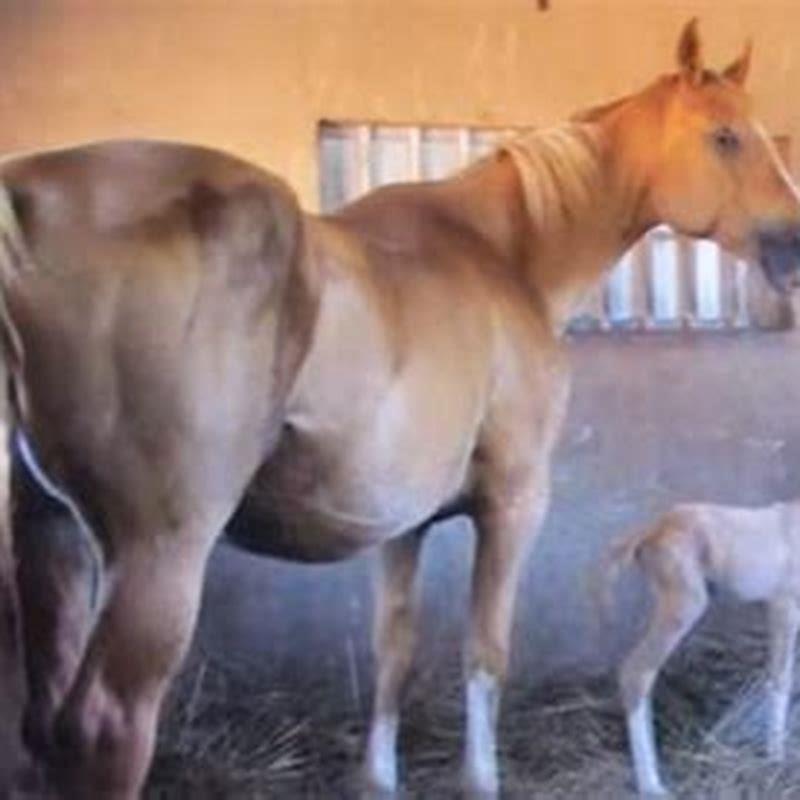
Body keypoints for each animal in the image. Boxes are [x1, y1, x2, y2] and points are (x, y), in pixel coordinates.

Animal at [0, 17, 799, 799]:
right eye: (726, 136)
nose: (792, 246)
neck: (503, 254)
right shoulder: (513, 503)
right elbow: (486, 652)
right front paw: (480, 779)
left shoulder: (402, 524)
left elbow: (395, 652)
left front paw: (379, 777)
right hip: (160, 554)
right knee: (107, 728)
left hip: (52, 543)